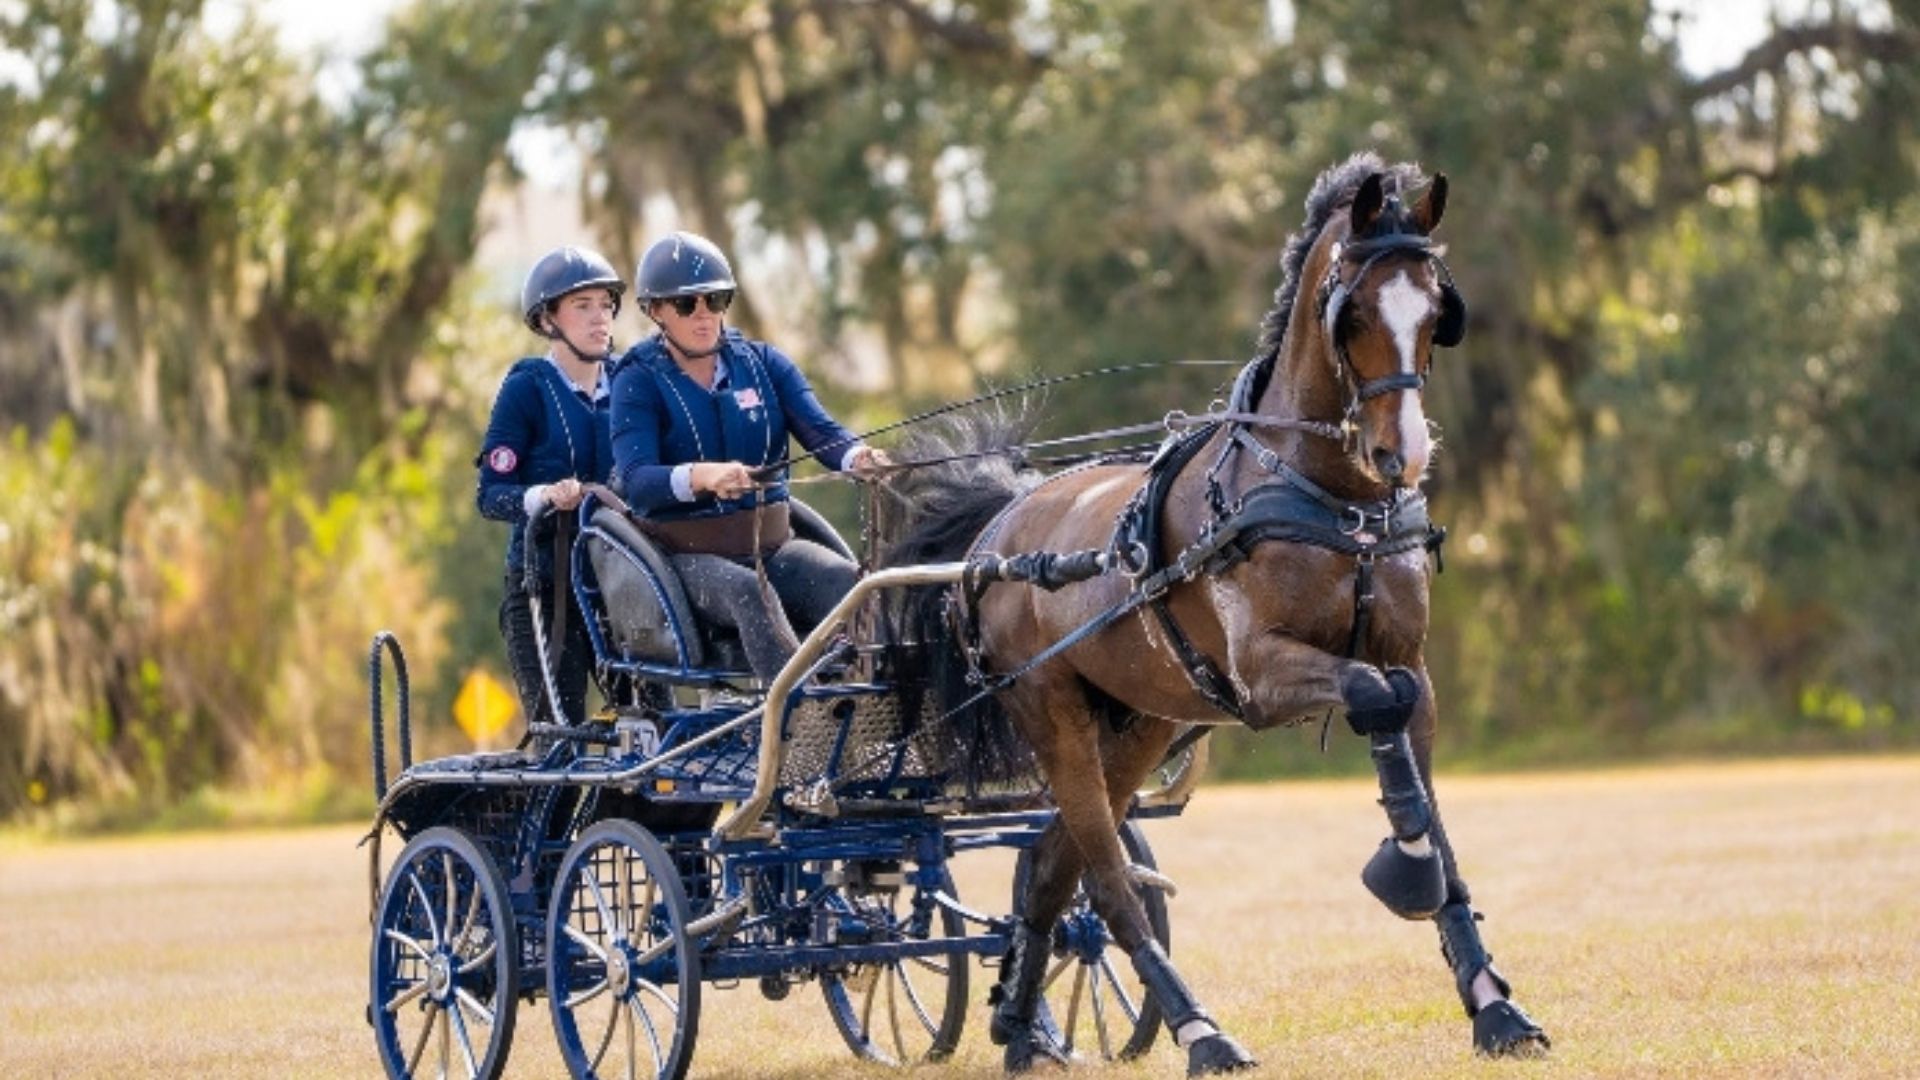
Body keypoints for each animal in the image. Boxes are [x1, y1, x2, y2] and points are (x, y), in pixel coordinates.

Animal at [878, 152, 1550, 1073]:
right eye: (1354, 310)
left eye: (1434, 309)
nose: (1403, 454)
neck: (1326, 498)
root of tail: (999, 531)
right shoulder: (1264, 673)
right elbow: (1372, 697)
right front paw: (1404, 866)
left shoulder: (1411, 662)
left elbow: (1418, 766)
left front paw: (1493, 1006)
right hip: (1053, 716)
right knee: (1109, 883)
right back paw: (1199, 1031)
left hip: (1140, 723)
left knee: (1054, 864)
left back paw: (1022, 1027)